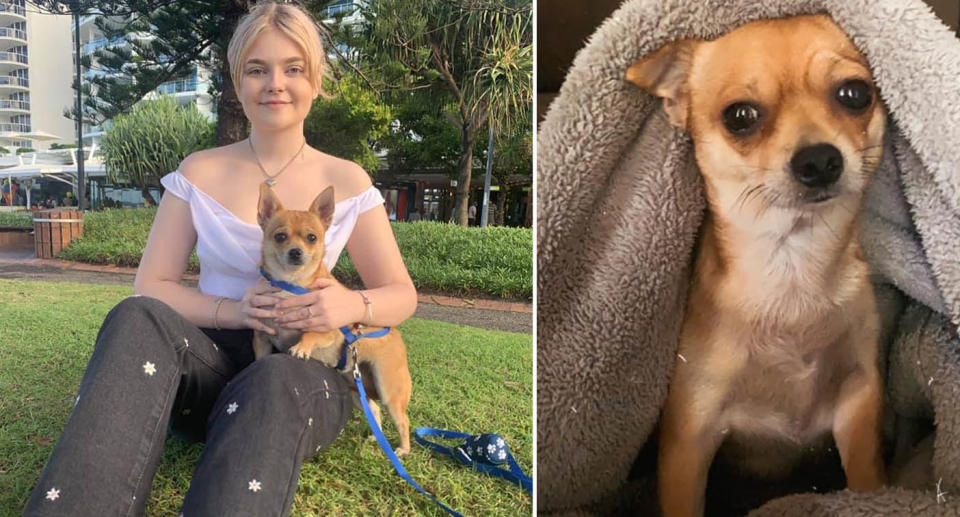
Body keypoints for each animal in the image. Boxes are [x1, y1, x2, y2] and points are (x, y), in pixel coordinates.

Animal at [253, 183, 410, 454]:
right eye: (280, 236)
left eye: (312, 238)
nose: (296, 252)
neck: (290, 284)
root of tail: (395, 335)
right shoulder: (262, 337)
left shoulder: (329, 327)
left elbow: (311, 332)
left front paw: (302, 347)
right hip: (356, 389)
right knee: (374, 408)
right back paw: (375, 436)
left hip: (389, 389)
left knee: (403, 420)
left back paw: (402, 449)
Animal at [628, 14, 888, 512]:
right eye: (740, 116)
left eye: (855, 94)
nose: (819, 160)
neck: (791, 268)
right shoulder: (690, 433)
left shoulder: (859, 395)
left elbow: (867, 478)